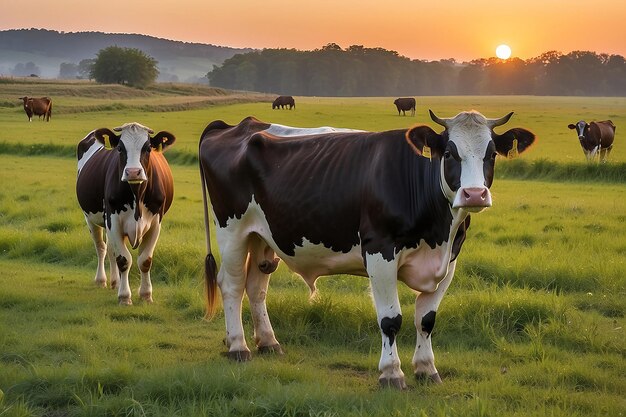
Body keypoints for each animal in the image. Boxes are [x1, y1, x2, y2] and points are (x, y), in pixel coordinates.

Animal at [78, 122, 177, 304]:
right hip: (91, 218)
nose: (133, 172)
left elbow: (145, 260)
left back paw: (115, 282)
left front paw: (146, 294)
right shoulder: (114, 221)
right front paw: (124, 296)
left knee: (111, 249)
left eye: (148, 148)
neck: (136, 195)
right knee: (101, 248)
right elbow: (123, 260)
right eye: (120, 148)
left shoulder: (155, 224)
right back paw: (101, 280)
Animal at [197, 109, 532, 386]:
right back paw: (238, 346)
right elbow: (391, 320)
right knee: (232, 285)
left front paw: (426, 369)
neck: (438, 229)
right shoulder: (379, 251)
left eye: (492, 154)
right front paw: (391, 373)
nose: (474, 194)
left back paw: (268, 342)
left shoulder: (449, 259)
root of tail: (236, 125)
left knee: (256, 287)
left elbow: (426, 319)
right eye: (449, 153)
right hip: (231, 229)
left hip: (261, 236)